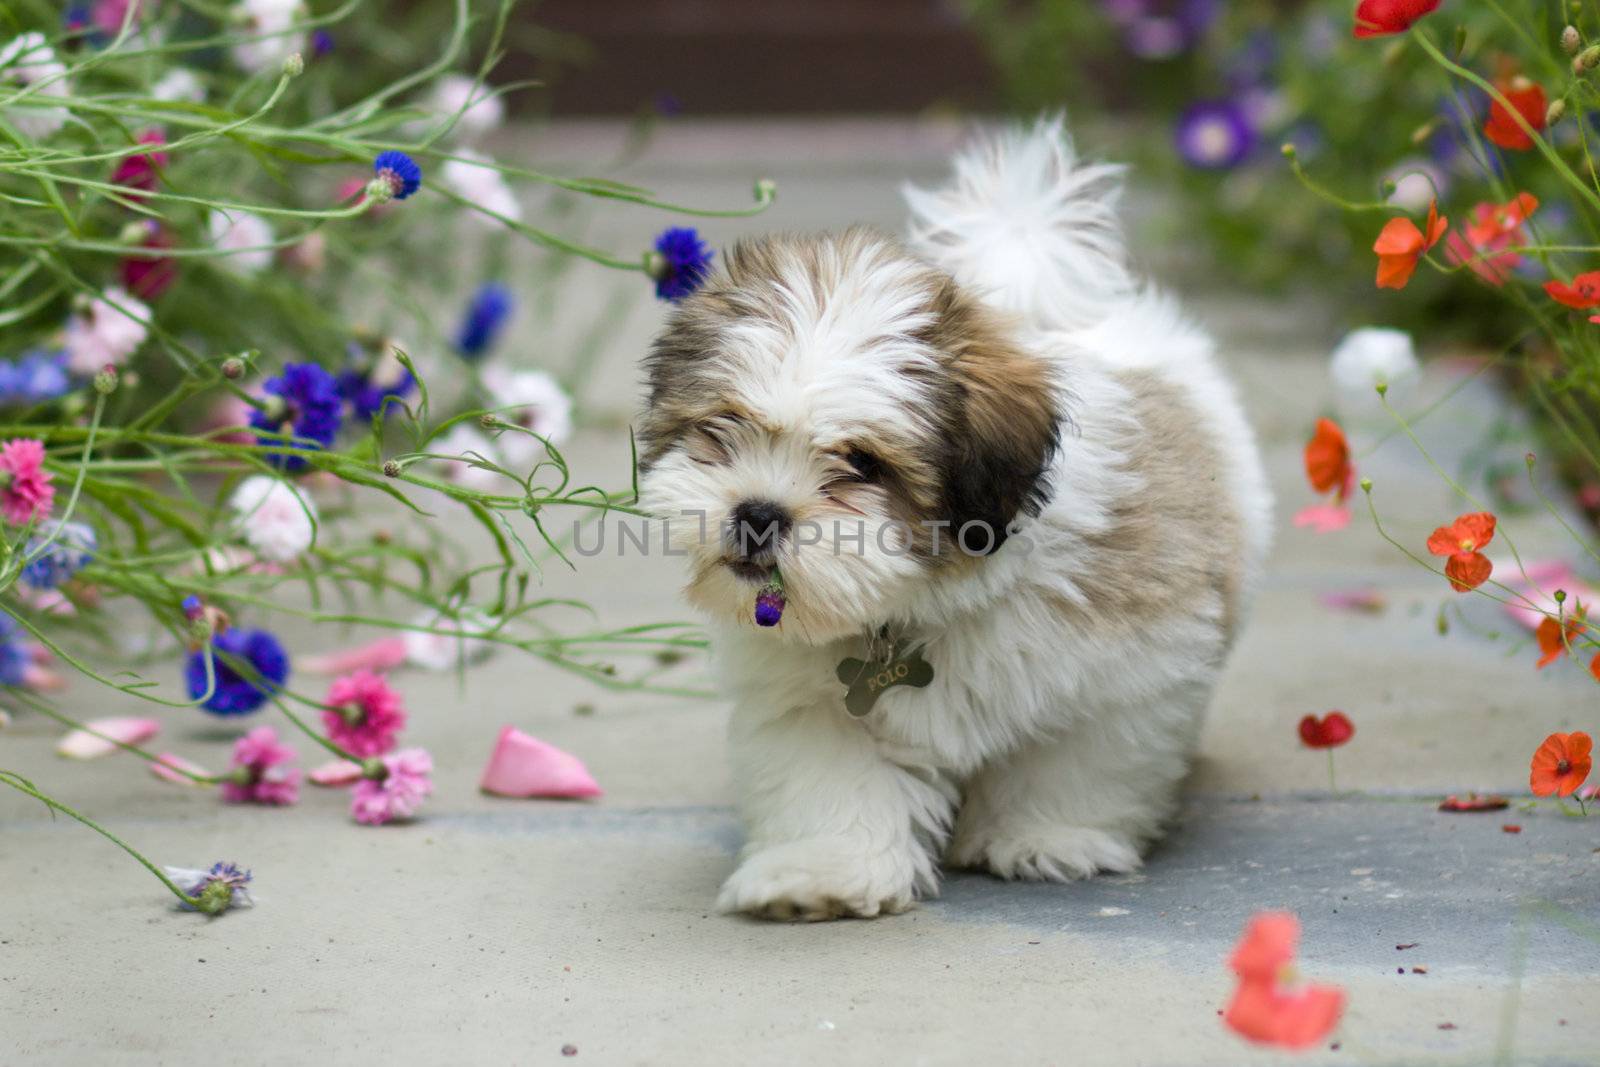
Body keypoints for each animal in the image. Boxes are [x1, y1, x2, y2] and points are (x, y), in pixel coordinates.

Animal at [636, 115, 1273, 921]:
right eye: (723, 428)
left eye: (863, 463)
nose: (758, 512)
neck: (921, 601)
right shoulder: (811, 703)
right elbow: (832, 781)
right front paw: (823, 871)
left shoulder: (1126, 670)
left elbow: (1076, 758)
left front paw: (1046, 837)